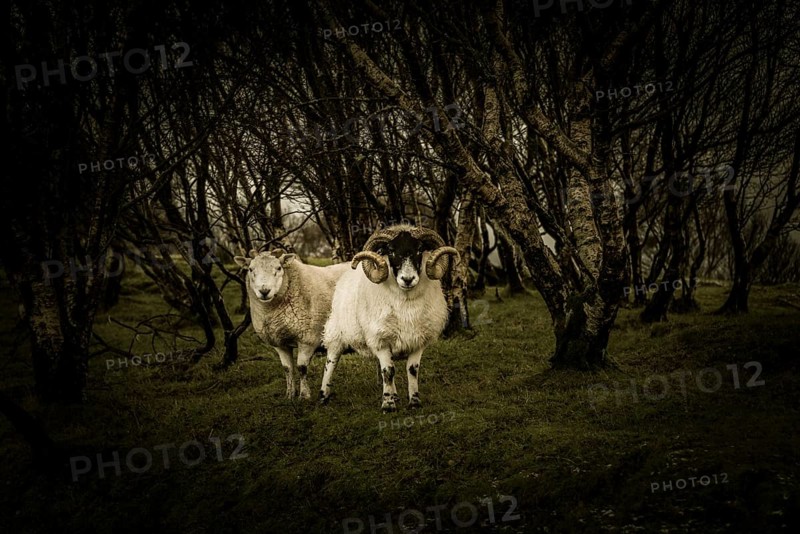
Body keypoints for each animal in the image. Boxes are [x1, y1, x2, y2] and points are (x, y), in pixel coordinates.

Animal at [234, 250, 350, 399]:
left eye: (279, 268)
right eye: (250, 269)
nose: (264, 291)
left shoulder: (308, 339)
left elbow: (301, 367)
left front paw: (304, 395)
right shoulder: (279, 343)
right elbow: (287, 369)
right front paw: (289, 395)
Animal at [319, 225, 459, 412]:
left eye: (420, 249)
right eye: (391, 251)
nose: (408, 279)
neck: (406, 305)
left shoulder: (418, 341)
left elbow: (412, 370)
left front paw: (414, 401)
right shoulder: (380, 341)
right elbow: (388, 372)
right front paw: (388, 404)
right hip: (336, 333)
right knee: (331, 362)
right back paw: (323, 396)